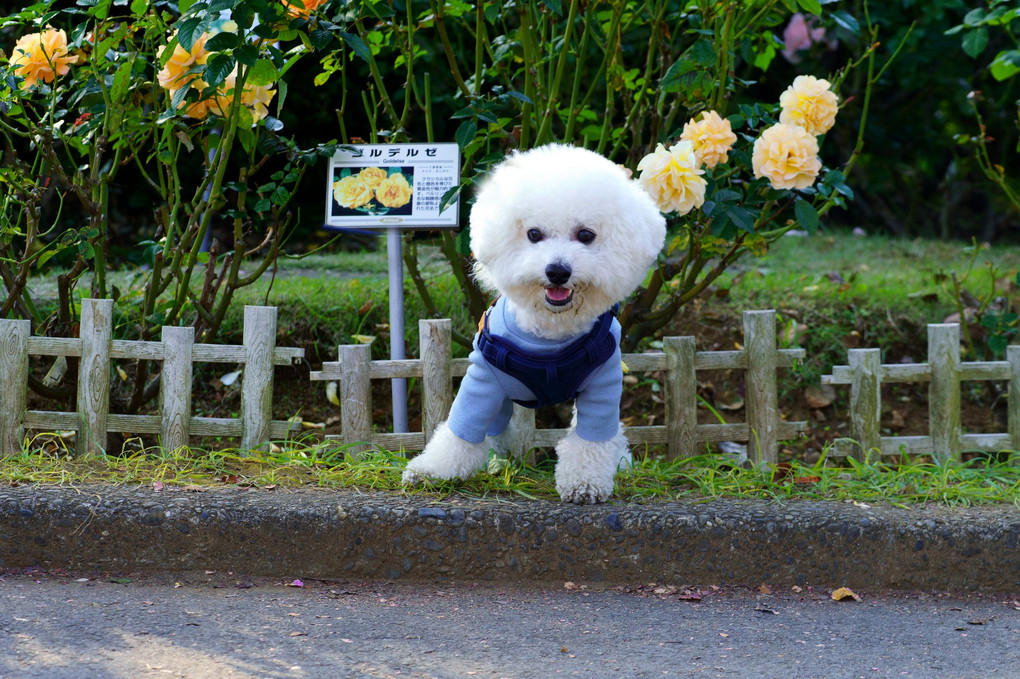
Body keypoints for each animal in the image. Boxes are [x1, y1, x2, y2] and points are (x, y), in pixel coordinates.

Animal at [401, 143, 665, 501]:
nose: (557, 271)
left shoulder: (603, 382)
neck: (549, 336)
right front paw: (430, 470)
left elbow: (592, 439)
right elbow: (461, 429)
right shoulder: (482, 380)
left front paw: (585, 481)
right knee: (497, 431)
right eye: (534, 234)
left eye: (586, 234)